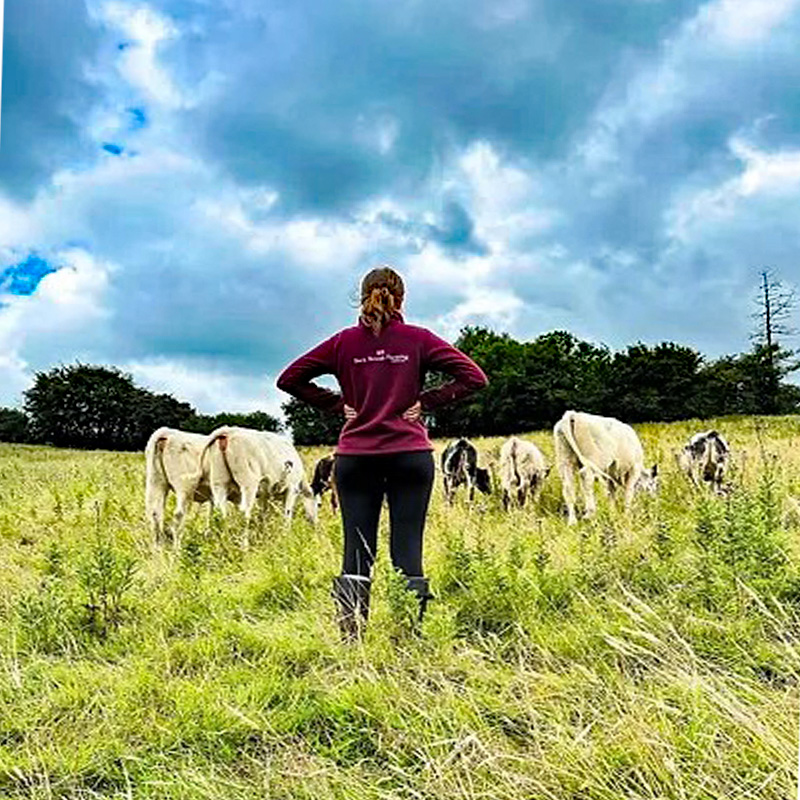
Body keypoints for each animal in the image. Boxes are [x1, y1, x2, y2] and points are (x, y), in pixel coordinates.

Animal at [203, 424, 316, 552]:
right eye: (318, 504)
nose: (315, 526)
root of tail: (228, 431)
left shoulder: (264, 495)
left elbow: (263, 515)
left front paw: (263, 535)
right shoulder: (292, 489)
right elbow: (287, 516)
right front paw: (286, 537)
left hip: (219, 483)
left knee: (221, 513)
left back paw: (224, 544)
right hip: (248, 483)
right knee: (244, 514)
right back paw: (244, 547)